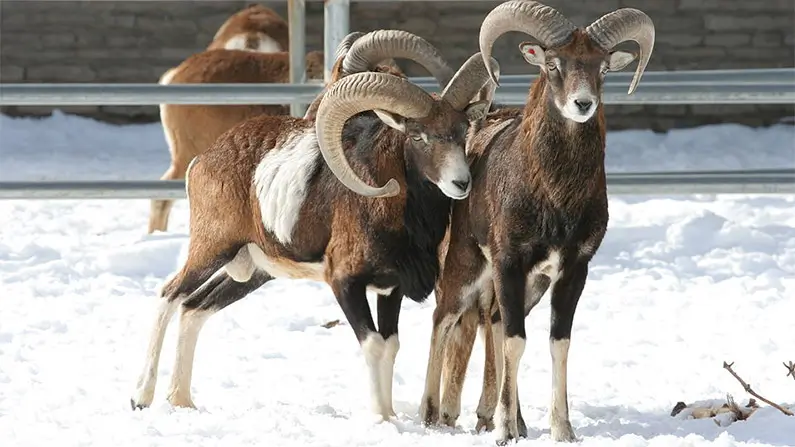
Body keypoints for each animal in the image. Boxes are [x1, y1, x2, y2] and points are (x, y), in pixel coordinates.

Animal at [128, 53, 500, 420]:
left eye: (462, 132)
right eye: (419, 136)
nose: (461, 183)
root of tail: (201, 162)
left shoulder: (390, 289)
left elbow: (391, 346)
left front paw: (391, 415)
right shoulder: (345, 284)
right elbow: (374, 345)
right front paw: (380, 417)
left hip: (250, 273)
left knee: (193, 309)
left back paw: (181, 400)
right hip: (212, 251)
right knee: (169, 295)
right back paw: (141, 397)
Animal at [416, 1, 655, 443]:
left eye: (602, 67)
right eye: (553, 65)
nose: (583, 104)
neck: (556, 199)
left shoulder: (571, 271)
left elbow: (556, 343)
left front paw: (562, 430)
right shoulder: (509, 262)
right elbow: (515, 342)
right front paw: (503, 431)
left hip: (530, 287)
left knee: (492, 322)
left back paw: (511, 420)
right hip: (467, 268)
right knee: (445, 320)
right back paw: (431, 416)